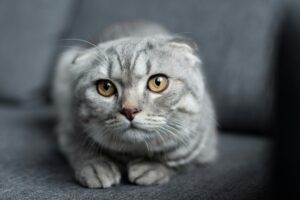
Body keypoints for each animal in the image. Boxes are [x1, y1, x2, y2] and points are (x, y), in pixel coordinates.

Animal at [52, 21, 218, 188]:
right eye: (105, 87)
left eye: (158, 82)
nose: (129, 110)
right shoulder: (69, 130)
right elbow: (81, 149)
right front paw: (97, 167)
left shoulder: (205, 148)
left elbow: (180, 163)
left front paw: (151, 167)